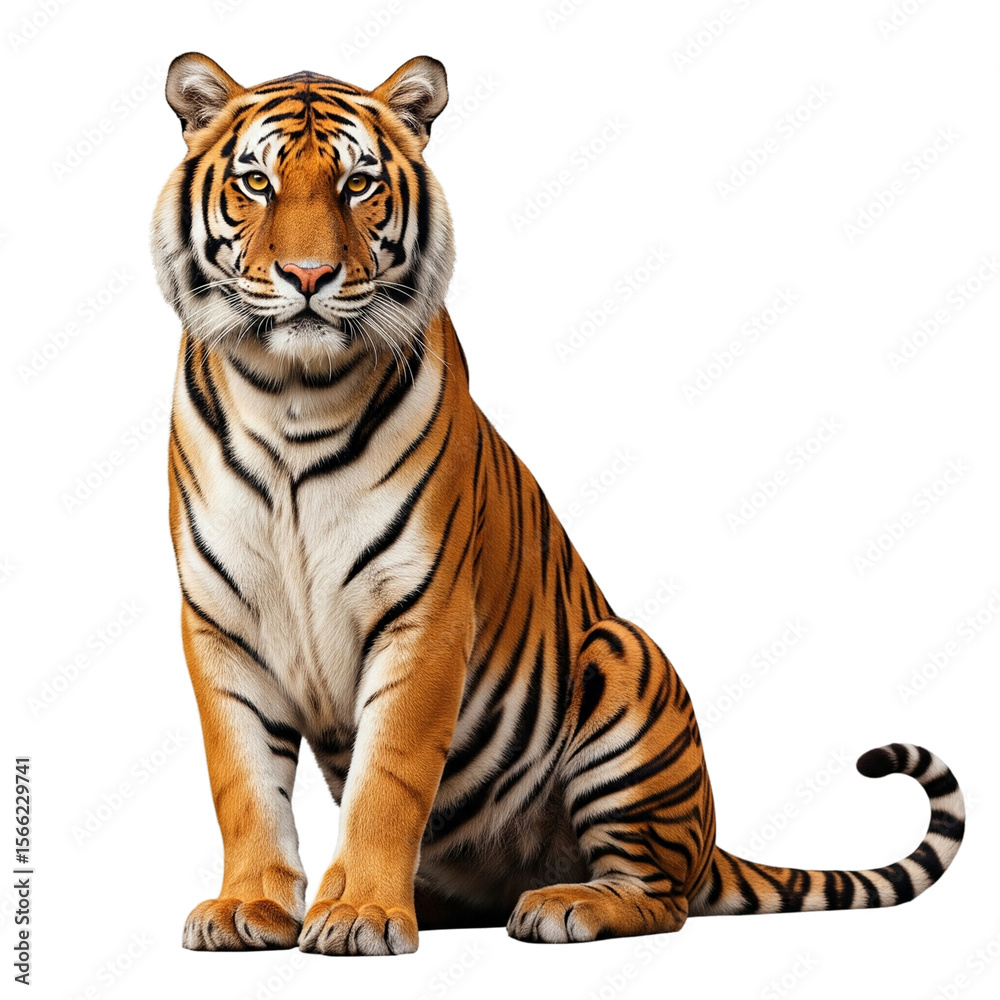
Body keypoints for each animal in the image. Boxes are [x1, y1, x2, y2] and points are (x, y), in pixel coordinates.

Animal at [151, 52, 965, 956]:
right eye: (256, 182)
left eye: (358, 184)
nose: (306, 278)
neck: (293, 394)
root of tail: (708, 841)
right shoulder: (221, 620)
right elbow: (242, 780)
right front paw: (249, 907)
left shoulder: (425, 613)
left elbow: (388, 778)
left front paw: (360, 912)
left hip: (624, 662)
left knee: (662, 898)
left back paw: (563, 905)